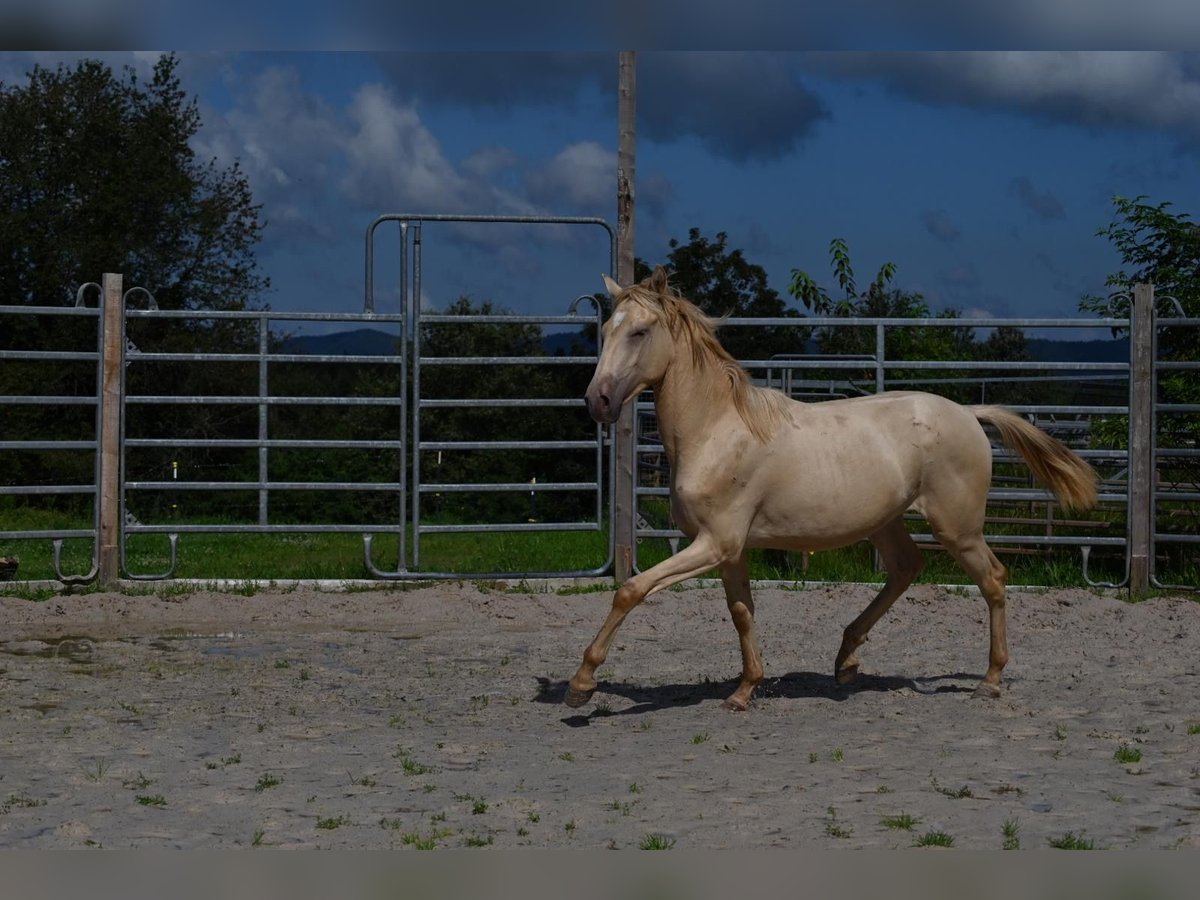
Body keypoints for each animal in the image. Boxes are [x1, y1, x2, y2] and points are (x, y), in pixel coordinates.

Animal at [566, 266, 1099, 710]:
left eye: (639, 331)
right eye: (606, 330)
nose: (598, 401)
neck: (717, 431)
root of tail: (969, 413)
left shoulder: (715, 543)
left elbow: (631, 590)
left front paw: (581, 684)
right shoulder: (728, 549)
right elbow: (742, 612)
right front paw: (744, 690)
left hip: (958, 528)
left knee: (993, 579)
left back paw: (989, 680)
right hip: (886, 522)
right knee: (906, 569)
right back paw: (845, 661)